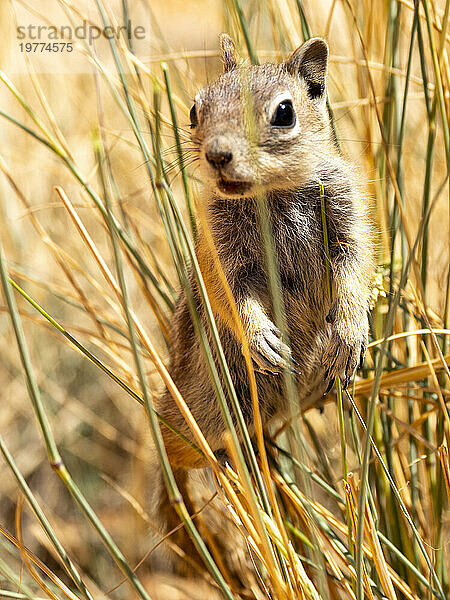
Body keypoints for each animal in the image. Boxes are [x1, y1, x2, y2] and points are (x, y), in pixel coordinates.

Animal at [155, 32, 376, 548]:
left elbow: (356, 270)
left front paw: (349, 333)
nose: (217, 155)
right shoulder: (220, 252)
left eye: (284, 112)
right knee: (179, 453)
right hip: (200, 413)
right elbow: (233, 299)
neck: (271, 194)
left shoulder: (348, 215)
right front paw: (262, 341)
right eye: (195, 109)